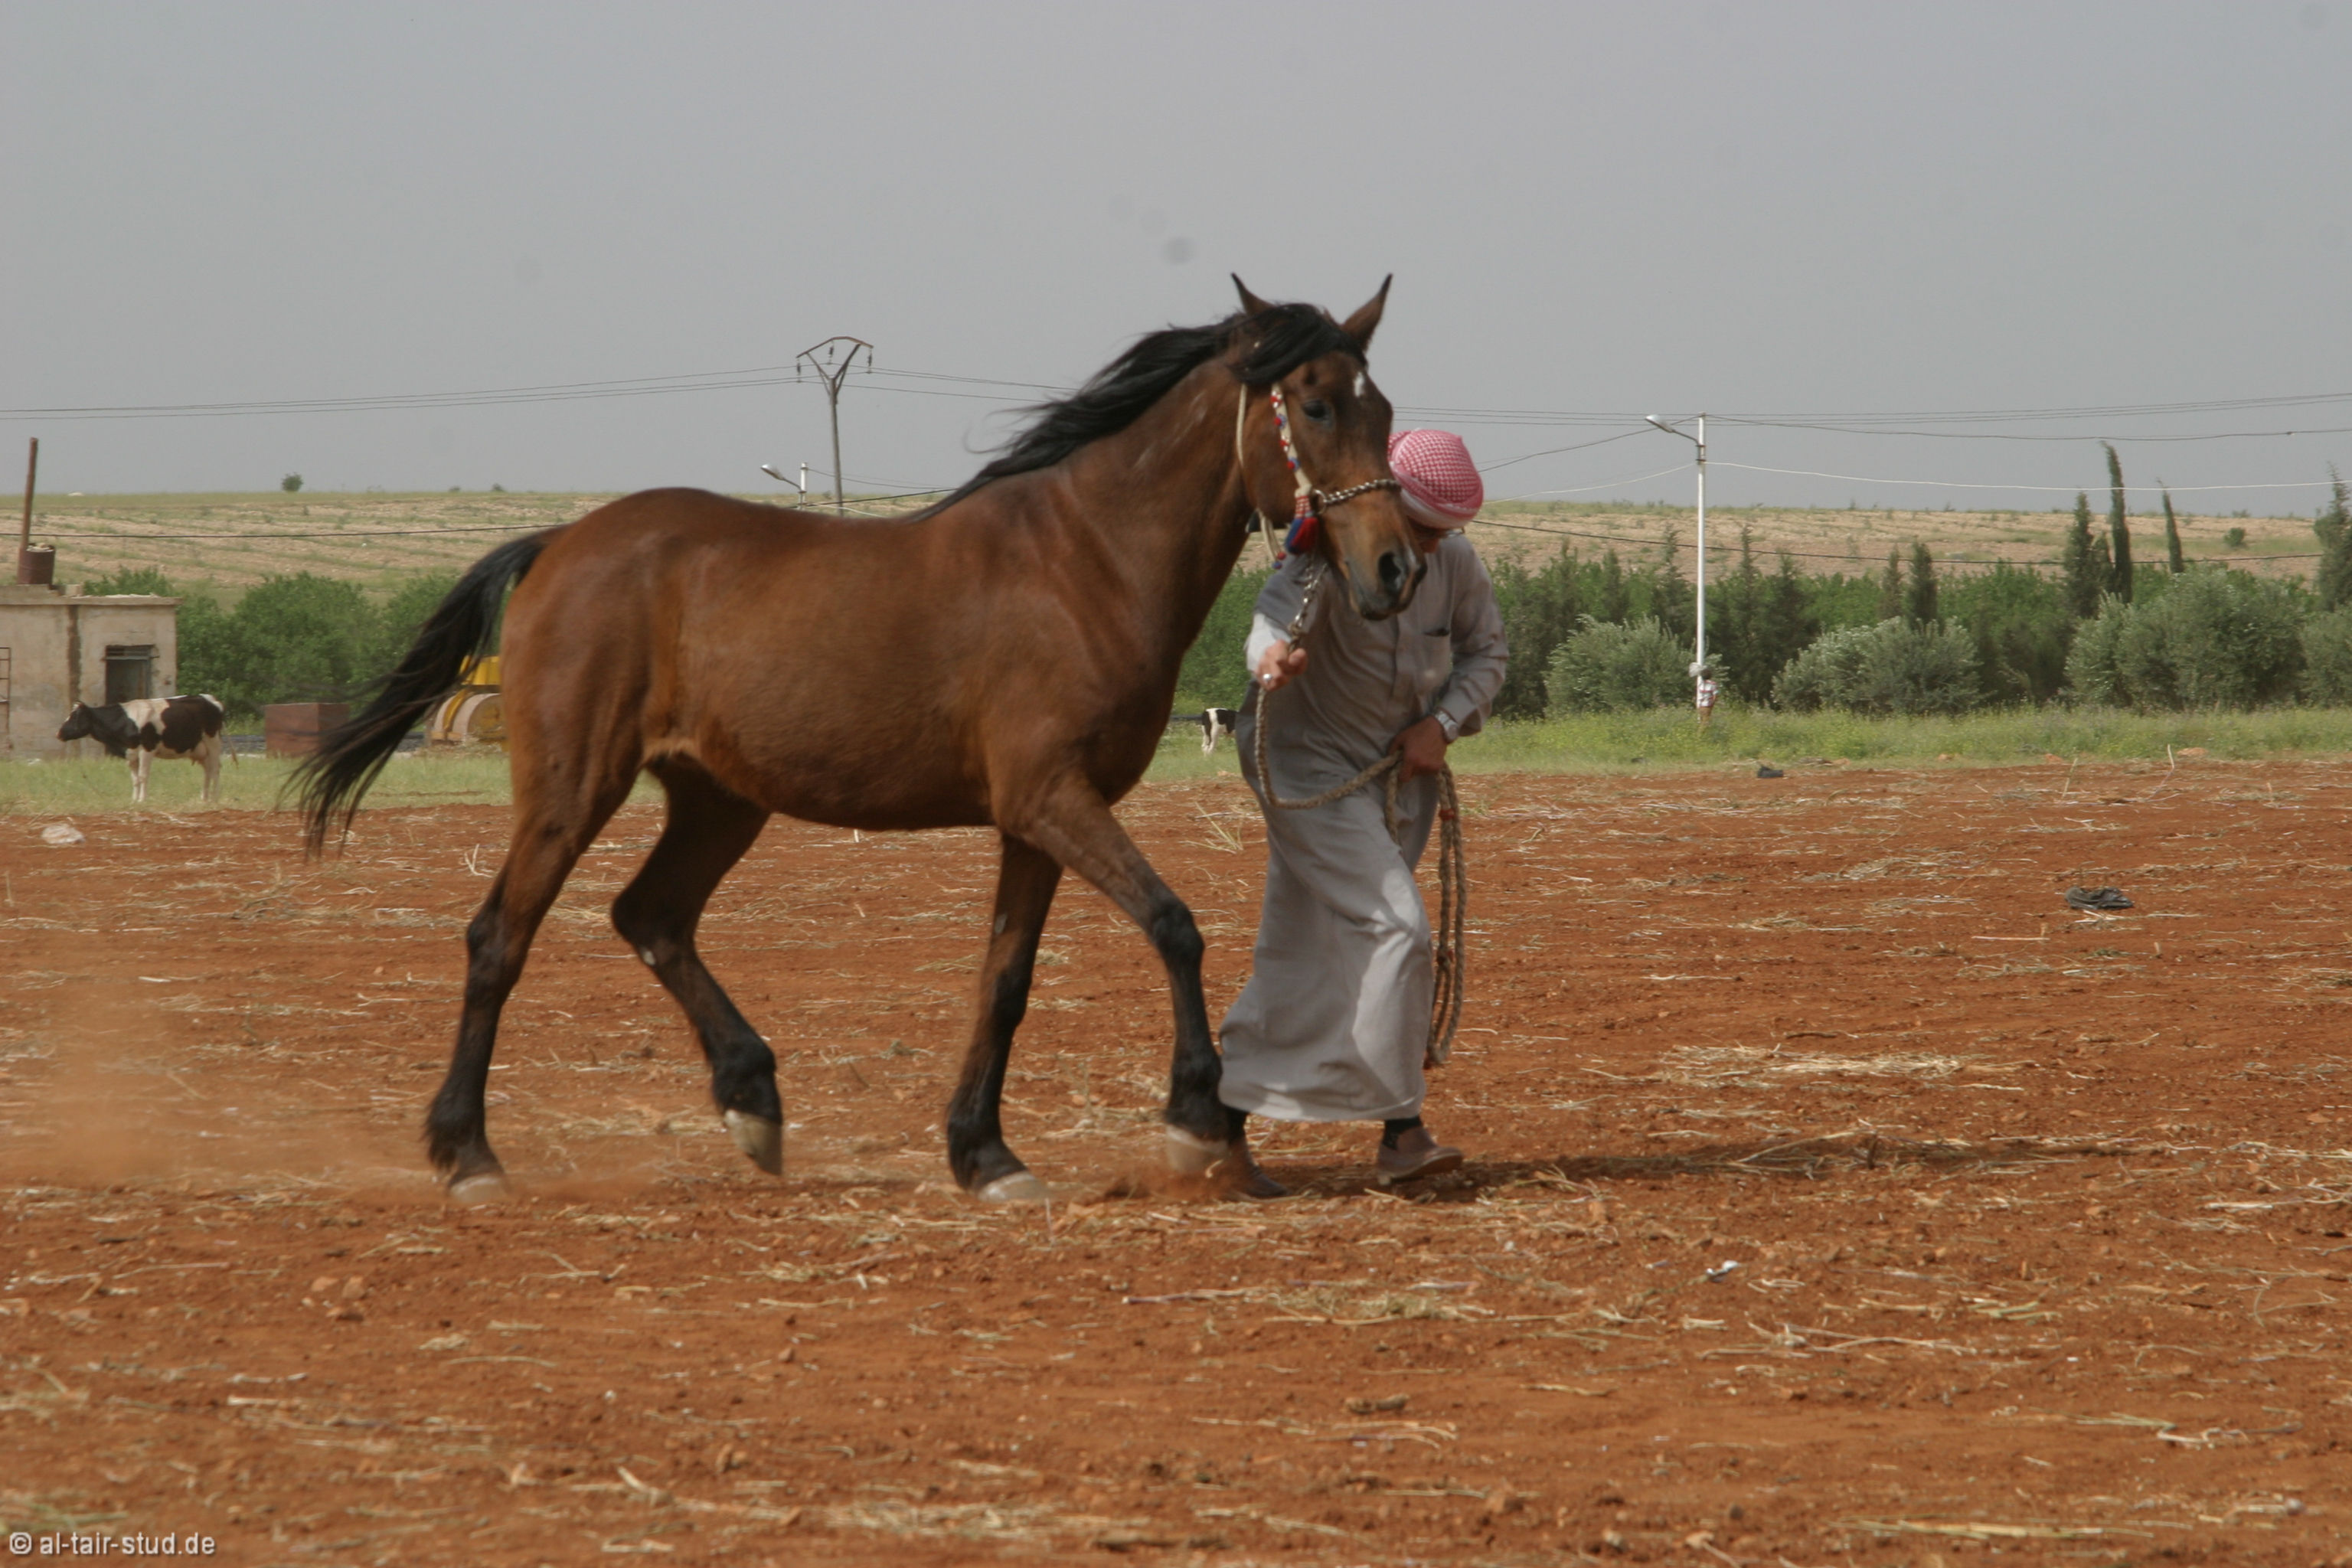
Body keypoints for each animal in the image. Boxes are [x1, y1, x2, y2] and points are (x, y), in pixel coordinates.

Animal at [57, 694, 227, 803]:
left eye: (75, 717)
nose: (59, 734)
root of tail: (210, 699)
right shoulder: (131, 753)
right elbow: (135, 779)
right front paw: (134, 799)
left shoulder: (147, 749)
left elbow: (143, 775)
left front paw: (142, 799)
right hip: (200, 750)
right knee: (208, 772)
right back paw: (204, 798)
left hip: (213, 742)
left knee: (215, 770)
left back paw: (215, 798)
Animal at [296, 277, 1422, 1204]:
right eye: (1316, 405)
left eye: (1384, 408)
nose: (1395, 569)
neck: (1085, 560)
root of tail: (560, 543)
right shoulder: (1052, 798)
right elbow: (1175, 925)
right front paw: (1199, 1119)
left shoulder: (1034, 821)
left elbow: (1005, 981)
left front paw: (985, 1154)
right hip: (575, 787)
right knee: (501, 937)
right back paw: (469, 1155)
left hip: (718, 798)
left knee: (651, 915)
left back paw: (752, 1101)